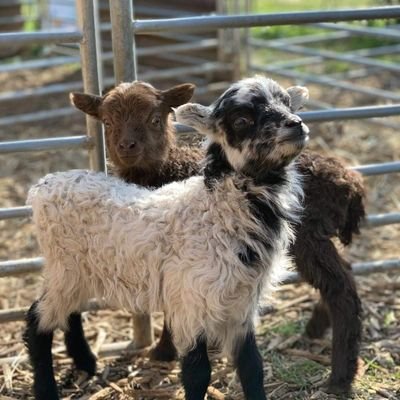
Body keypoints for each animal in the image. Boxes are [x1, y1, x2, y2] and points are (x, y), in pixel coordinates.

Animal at [69, 80, 366, 394]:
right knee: (343, 274)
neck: (164, 170)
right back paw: (315, 330)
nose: (127, 146)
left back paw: (340, 377)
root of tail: (350, 181)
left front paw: (164, 351)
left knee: (341, 289)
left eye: (155, 118)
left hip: (309, 238)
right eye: (107, 122)